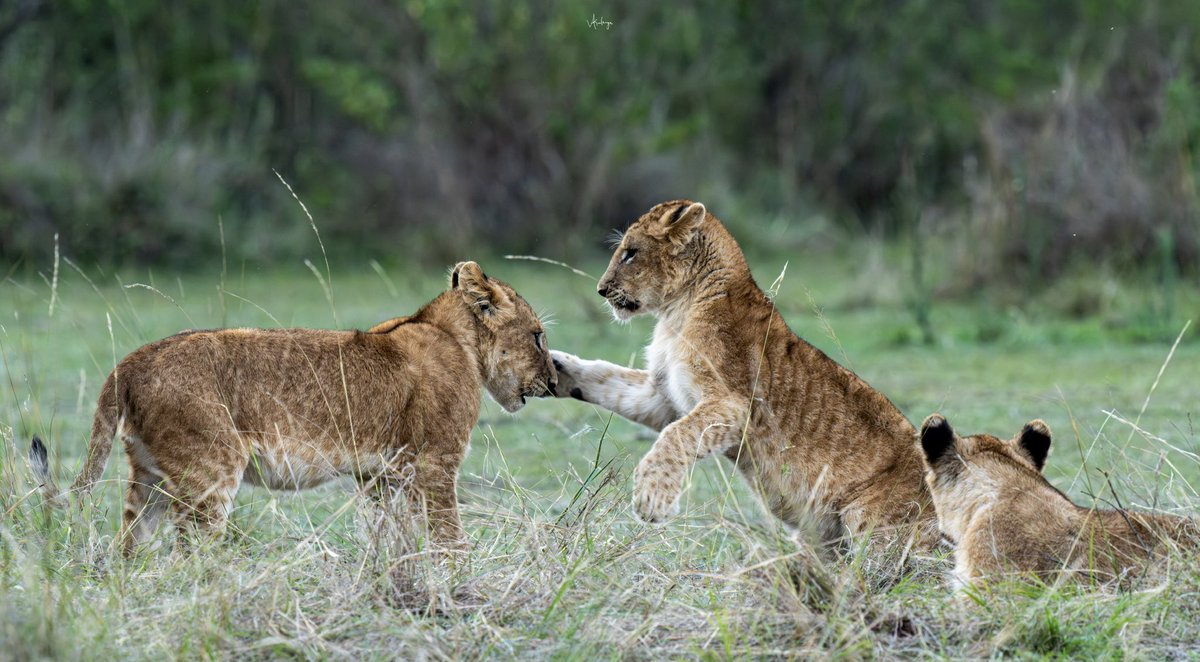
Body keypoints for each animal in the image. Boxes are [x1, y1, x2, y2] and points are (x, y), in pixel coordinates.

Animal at [30, 261, 557, 556]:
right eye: (537, 336)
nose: (554, 381)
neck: (454, 337)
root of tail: (133, 359)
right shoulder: (435, 464)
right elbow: (450, 538)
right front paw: (457, 584)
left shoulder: (381, 476)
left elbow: (391, 536)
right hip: (211, 469)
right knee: (191, 552)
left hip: (151, 475)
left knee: (129, 543)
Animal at [549, 199, 938, 552]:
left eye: (630, 253)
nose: (601, 290)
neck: (676, 314)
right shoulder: (662, 398)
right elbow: (605, 378)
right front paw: (555, 366)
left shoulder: (735, 403)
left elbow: (676, 435)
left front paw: (651, 497)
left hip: (874, 526)